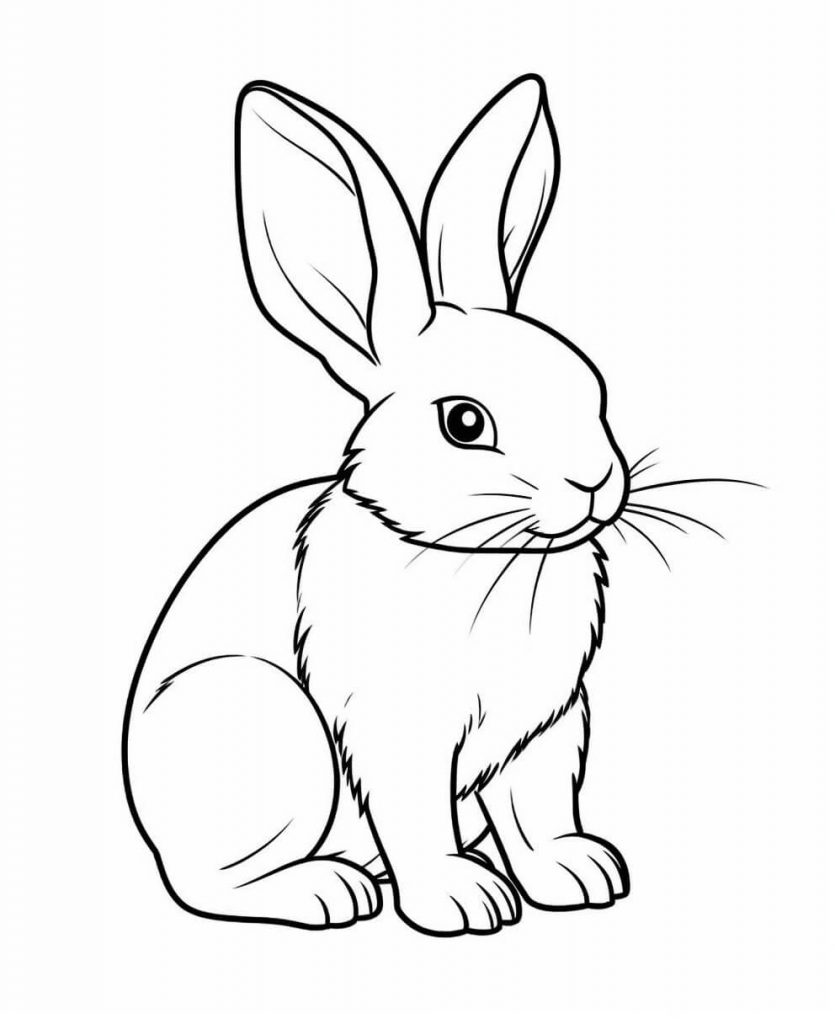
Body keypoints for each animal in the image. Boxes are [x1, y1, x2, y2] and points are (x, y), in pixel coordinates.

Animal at [123, 74, 632, 936]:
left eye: (589, 390)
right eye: (464, 423)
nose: (594, 484)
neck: (485, 555)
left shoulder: (548, 727)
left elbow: (536, 811)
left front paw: (579, 875)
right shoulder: (398, 727)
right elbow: (416, 814)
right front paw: (461, 901)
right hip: (264, 728)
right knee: (208, 886)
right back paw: (326, 891)